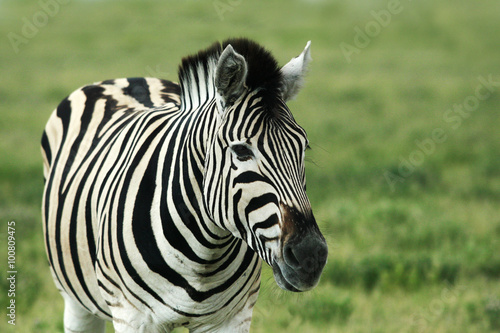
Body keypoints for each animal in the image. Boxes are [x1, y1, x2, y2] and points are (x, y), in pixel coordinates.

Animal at [43, 37, 328, 330]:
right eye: (241, 151)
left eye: (303, 148)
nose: (310, 255)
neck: (204, 256)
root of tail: (127, 79)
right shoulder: (132, 316)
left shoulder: (233, 317)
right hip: (76, 300)